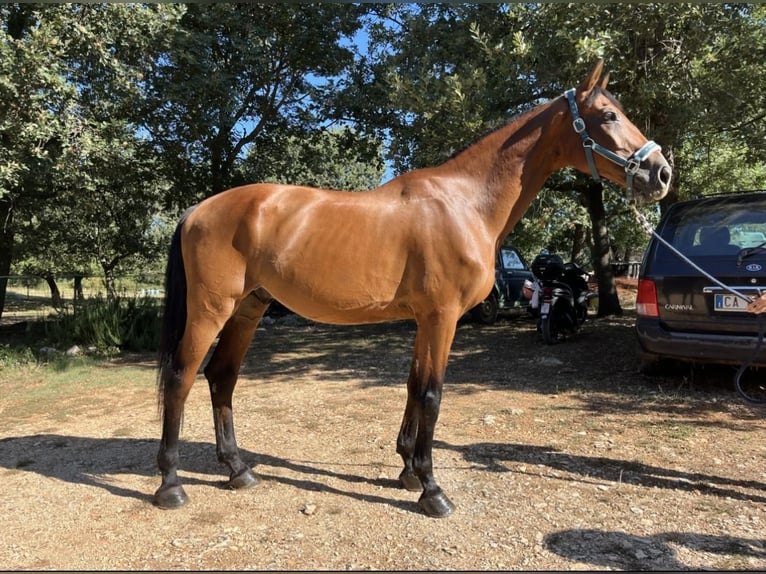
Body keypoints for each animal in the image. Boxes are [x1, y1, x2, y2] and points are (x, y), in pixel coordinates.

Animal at [154, 60, 672, 520]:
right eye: (608, 114)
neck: (464, 202)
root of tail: (198, 210)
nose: (661, 172)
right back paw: (171, 484)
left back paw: (238, 470)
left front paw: (406, 470)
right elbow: (432, 394)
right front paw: (431, 489)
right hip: (211, 310)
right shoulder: (442, 317)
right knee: (181, 377)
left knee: (221, 377)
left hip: (248, 309)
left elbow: (413, 386)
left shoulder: (426, 318)